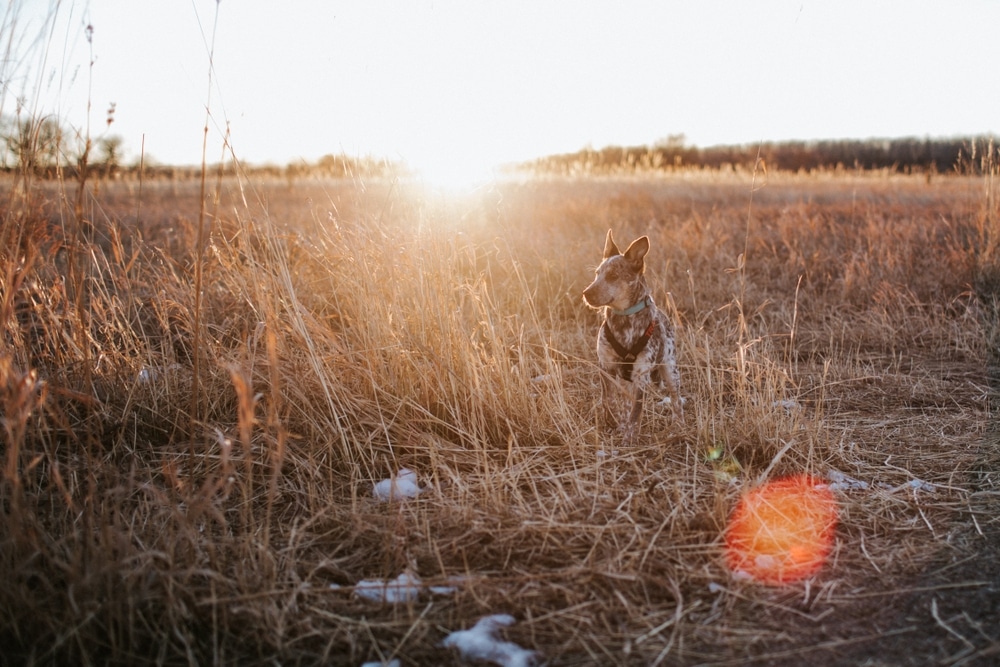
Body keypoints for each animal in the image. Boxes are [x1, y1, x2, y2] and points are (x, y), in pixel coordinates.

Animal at [584, 230, 684, 438]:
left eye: (613, 276)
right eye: (597, 274)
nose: (585, 293)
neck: (624, 320)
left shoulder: (641, 375)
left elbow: (635, 413)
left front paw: (629, 438)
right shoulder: (606, 367)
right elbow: (609, 400)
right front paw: (612, 422)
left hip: (670, 369)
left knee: (677, 400)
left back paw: (680, 427)